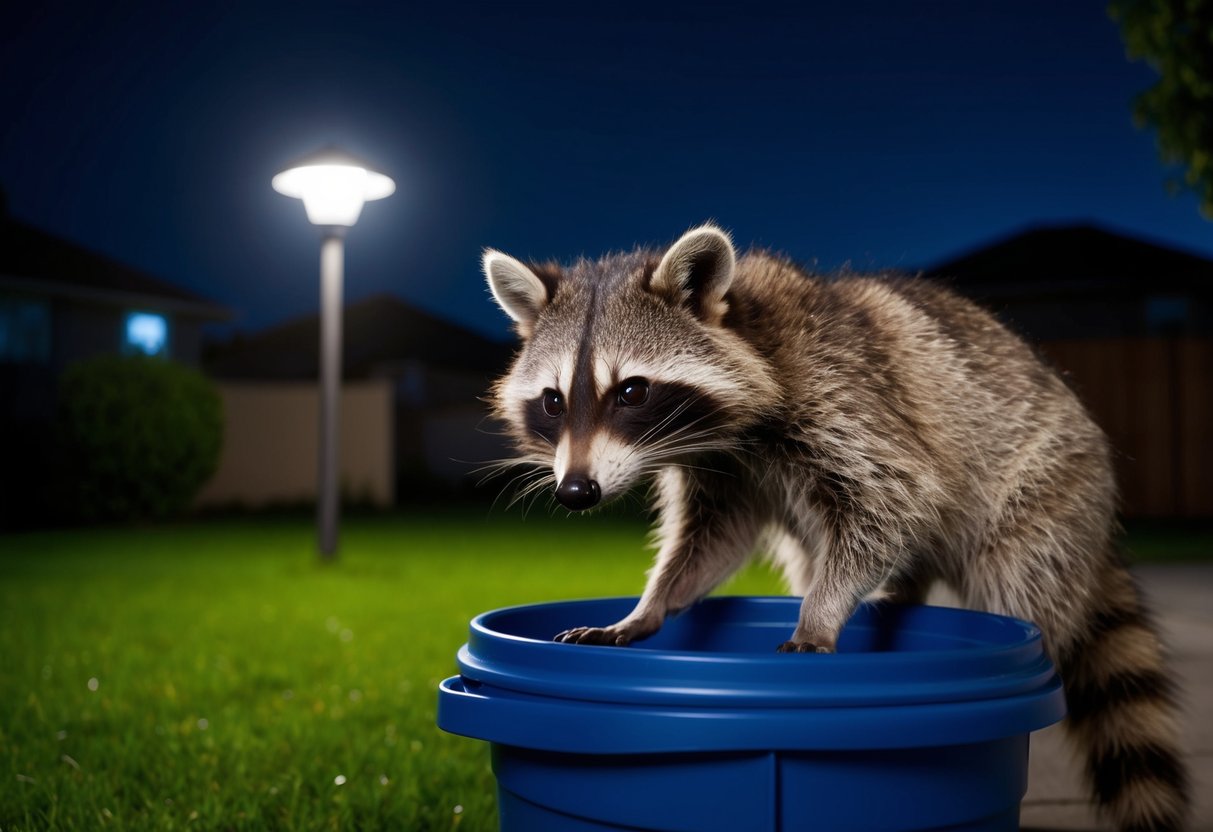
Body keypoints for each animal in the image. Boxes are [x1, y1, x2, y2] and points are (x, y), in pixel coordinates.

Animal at [483, 224, 1189, 831]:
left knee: (1014, 576)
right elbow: (710, 540)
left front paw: (819, 616)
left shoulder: (839, 387)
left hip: (1051, 491)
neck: (744, 331)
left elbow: (891, 498)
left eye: (631, 391)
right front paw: (649, 606)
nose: (576, 492)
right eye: (552, 401)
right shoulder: (723, 468)